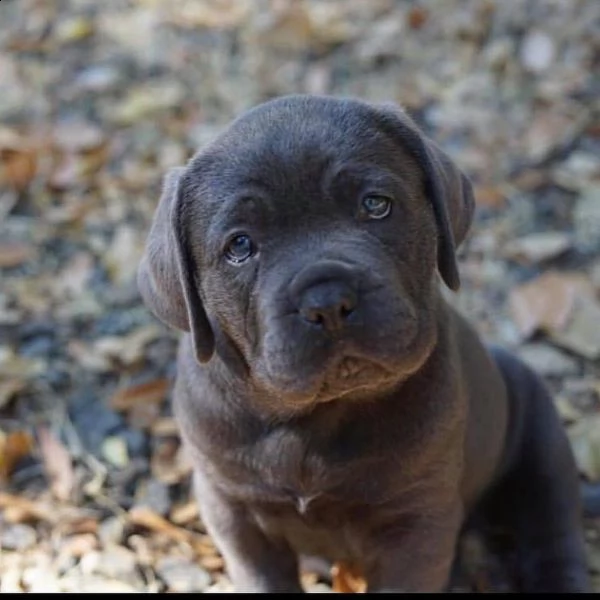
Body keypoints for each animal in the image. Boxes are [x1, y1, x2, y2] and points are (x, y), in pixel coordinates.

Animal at [137, 96, 592, 592]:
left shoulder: (416, 522)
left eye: (375, 205)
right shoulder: (234, 511)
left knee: (554, 534)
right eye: (240, 246)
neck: (315, 419)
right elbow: (263, 578)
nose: (327, 301)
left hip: (543, 442)